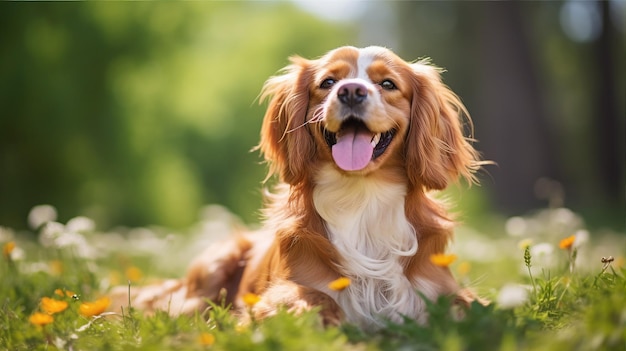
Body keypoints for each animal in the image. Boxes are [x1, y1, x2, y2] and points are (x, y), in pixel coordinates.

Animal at [112, 46, 482, 330]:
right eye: (328, 82)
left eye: (388, 84)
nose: (351, 91)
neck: (361, 196)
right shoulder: (279, 291)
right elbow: (314, 297)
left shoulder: (438, 286)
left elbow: (468, 305)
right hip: (214, 265)